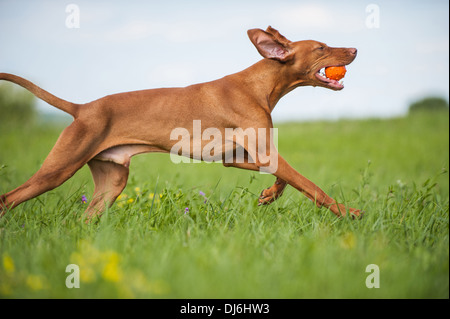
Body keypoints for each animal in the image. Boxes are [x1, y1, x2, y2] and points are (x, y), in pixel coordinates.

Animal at [0, 26, 358, 220]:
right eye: (322, 47)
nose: (355, 48)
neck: (260, 84)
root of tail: (82, 108)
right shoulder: (265, 153)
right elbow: (312, 186)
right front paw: (351, 214)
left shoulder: (239, 157)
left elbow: (285, 180)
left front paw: (268, 195)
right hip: (59, 169)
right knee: (7, 199)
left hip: (112, 181)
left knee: (85, 219)